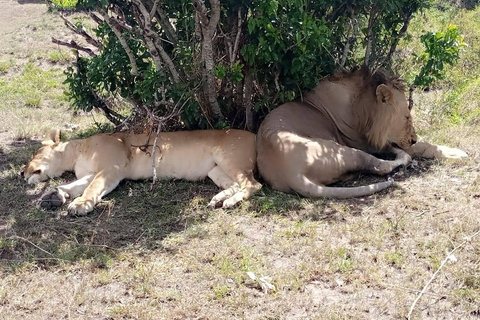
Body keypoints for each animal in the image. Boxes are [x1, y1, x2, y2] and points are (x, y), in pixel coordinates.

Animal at [21, 128, 262, 215]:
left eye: (34, 153)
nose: (21, 173)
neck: (76, 152)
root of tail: (254, 135)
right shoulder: (92, 172)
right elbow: (74, 185)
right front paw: (54, 196)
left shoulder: (111, 169)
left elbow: (91, 189)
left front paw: (80, 205)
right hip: (216, 171)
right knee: (235, 184)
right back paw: (218, 199)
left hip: (228, 158)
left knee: (253, 184)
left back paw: (229, 202)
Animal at [256, 67, 466, 198]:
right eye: (407, 117)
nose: (413, 139)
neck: (361, 108)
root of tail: (291, 174)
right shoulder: (365, 142)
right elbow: (422, 146)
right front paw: (455, 153)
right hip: (343, 151)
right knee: (382, 166)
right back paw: (400, 157)